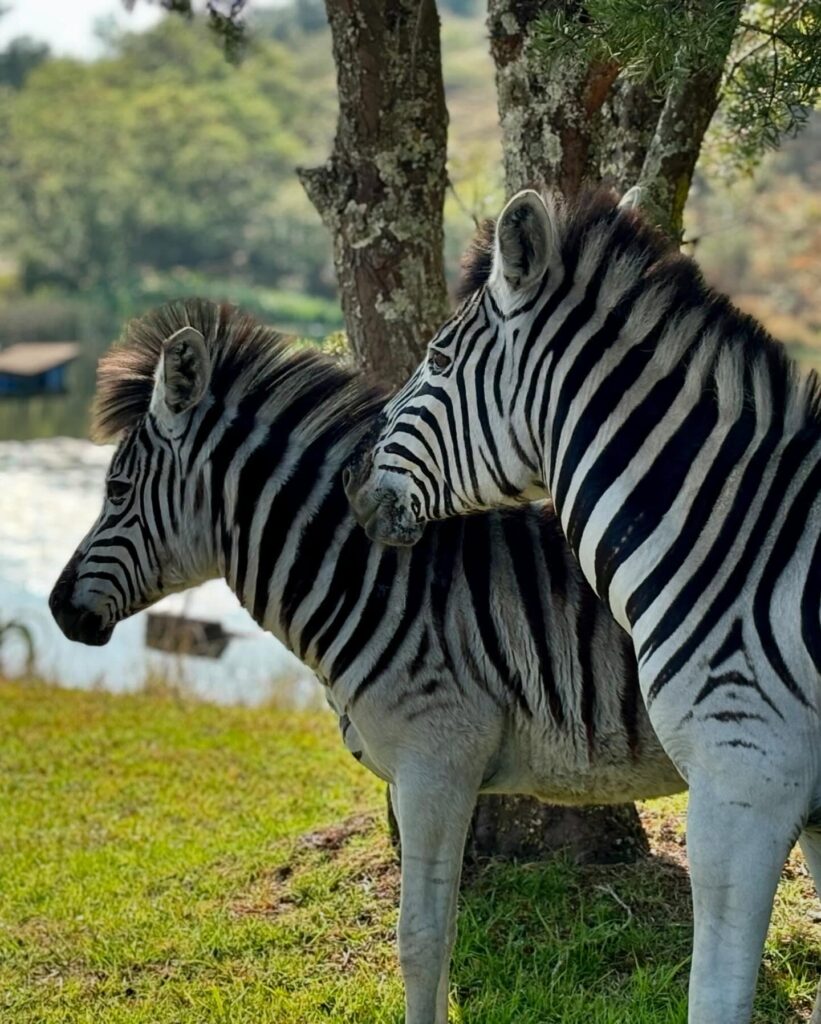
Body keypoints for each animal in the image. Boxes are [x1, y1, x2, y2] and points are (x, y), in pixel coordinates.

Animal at [48, 299, 685, 1024]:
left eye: (116, 490)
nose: (58, 609)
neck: (382, 582)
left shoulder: (437, 765)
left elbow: (421, 940)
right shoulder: (430, 779)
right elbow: (442, 936)